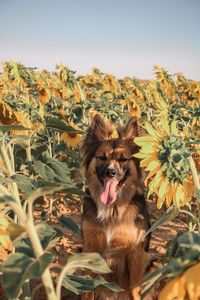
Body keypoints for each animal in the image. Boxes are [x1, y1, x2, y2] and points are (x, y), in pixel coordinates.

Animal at [80, 113, 151, 298]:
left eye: (123, 159)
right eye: (102, 157)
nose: (110, 172)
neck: (111, 209)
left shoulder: (136, 254)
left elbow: (135, 290)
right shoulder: (90, 249)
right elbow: (86, 290)